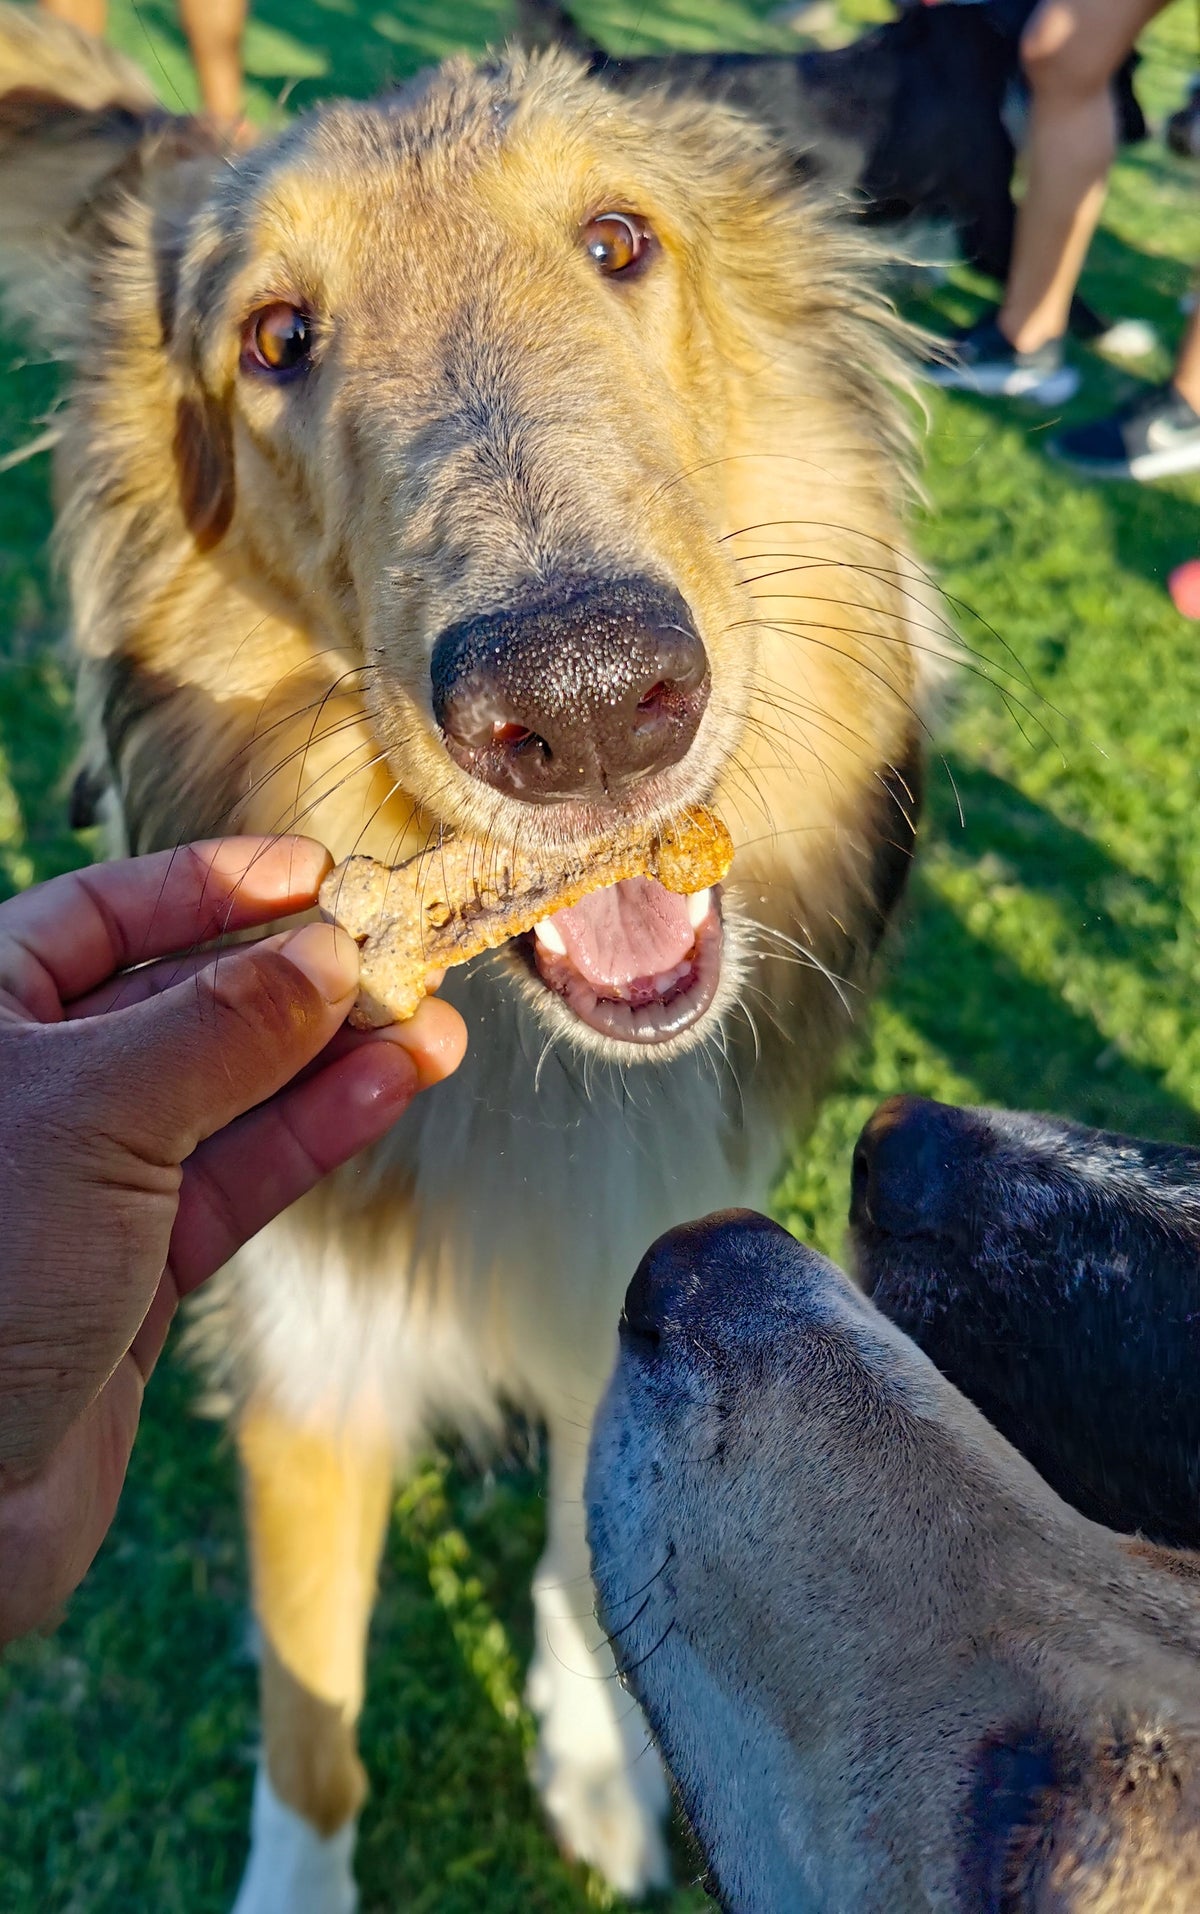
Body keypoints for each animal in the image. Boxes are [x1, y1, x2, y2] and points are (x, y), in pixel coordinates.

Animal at [0, 11, 937, 1898]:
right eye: (276, 338)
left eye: (620, 241)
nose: (584, 701)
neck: (540, 1069)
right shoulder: (312, 1354)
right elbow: (312, 1710)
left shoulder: (630, 1256)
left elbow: (590, 1542)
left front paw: (595, 1760)